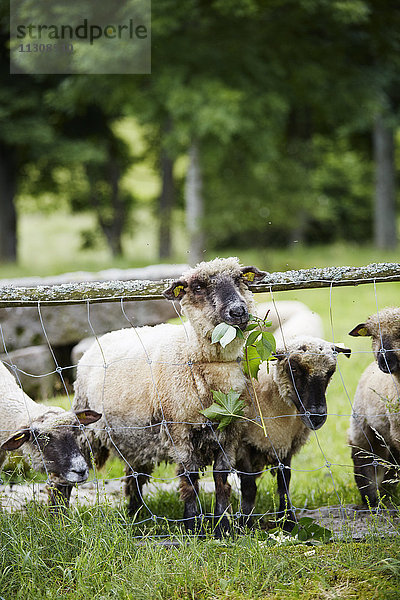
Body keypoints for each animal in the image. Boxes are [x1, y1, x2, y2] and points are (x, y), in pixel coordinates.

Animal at [58, 255, 266, 532]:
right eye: (197, 287)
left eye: (239, 279)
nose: (238, 311)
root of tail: (100, 340)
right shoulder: (179, 431)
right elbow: (190, 479)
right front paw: (192, 527)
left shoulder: (230, 434)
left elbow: (221, 480)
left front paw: (223, 527)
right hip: (87, 428)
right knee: (65, 477)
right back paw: (58, 516)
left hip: (136, 439)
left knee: (134, 478)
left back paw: (135, 515)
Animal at [236, 338, 352, 528]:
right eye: (294, 369)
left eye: (331, 371)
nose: (316, 416)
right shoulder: (243, 442)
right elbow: (248, 486)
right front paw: (246, 523)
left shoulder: (286, 442)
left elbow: (285, 481)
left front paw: (287, 520)